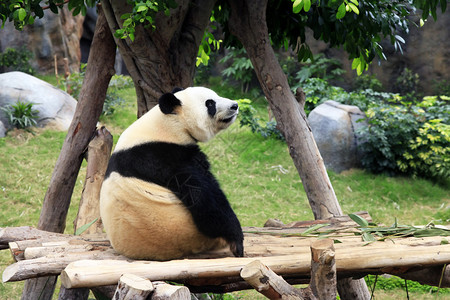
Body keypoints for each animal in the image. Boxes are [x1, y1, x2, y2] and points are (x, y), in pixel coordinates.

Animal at [100, 86, 244, 260]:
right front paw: (236, 241)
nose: (234, 105)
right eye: (210, 104)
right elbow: (202, 194)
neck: (167, 124)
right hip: (187, 230)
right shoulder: (163, 157)